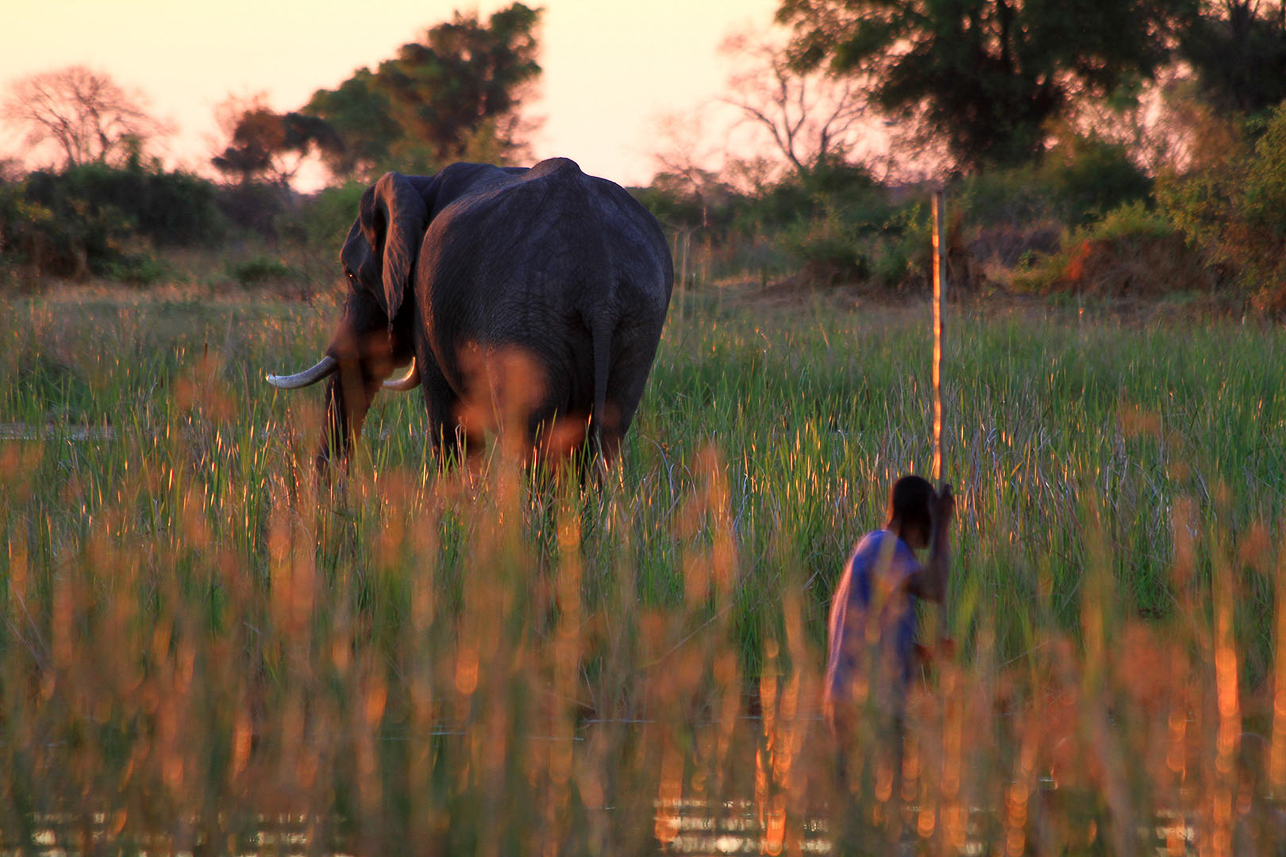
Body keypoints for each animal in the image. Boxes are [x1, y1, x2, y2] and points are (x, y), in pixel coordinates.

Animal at [267, 155, 679, 473]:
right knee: (603, 438)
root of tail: (599, 281)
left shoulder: (427, 305)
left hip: (525, 318)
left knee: (533, 439)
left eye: (351, 276)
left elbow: (450, 424)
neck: (421, 183)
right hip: (637, 322)